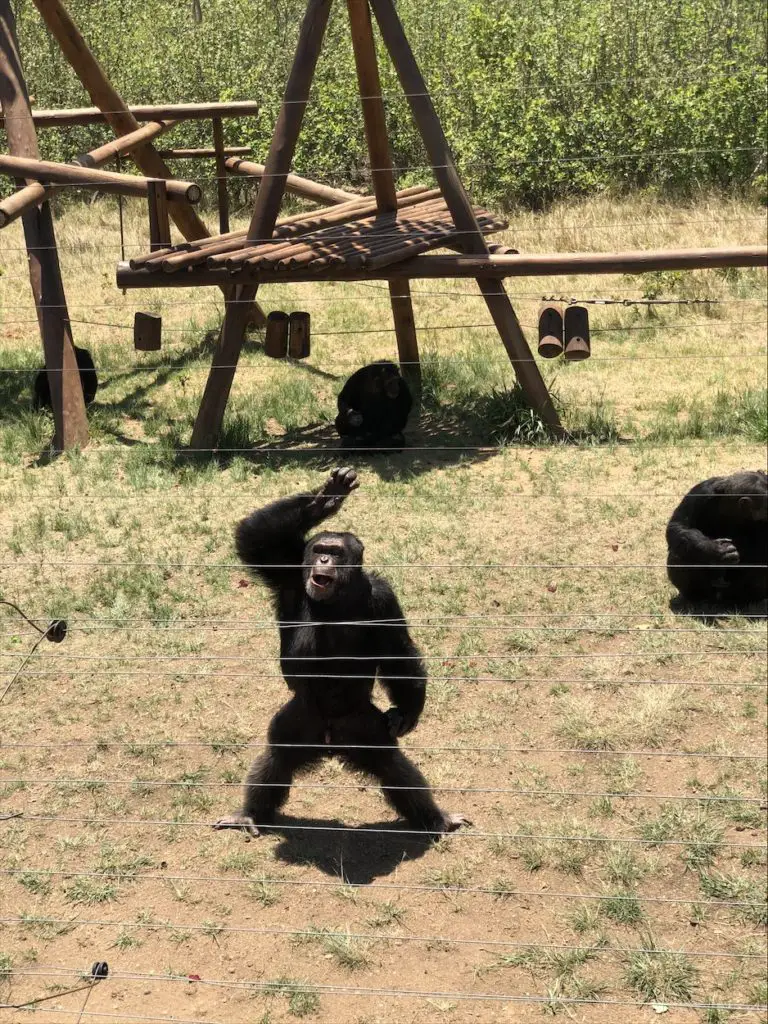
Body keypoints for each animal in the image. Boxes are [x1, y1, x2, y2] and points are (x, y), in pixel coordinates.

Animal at [215, 468, 468, 835]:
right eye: (320, 548)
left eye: (335, 552)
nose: (323, 559)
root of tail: (331, 738)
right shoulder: (286, 571)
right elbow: (254, 538)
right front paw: (324, 501)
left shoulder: (384, 597)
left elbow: (397, 651)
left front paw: (408, 712)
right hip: (301, 719)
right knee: (278, 756)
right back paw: (249, 814)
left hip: (365, 727)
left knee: (391, 764)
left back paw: (435, 818)